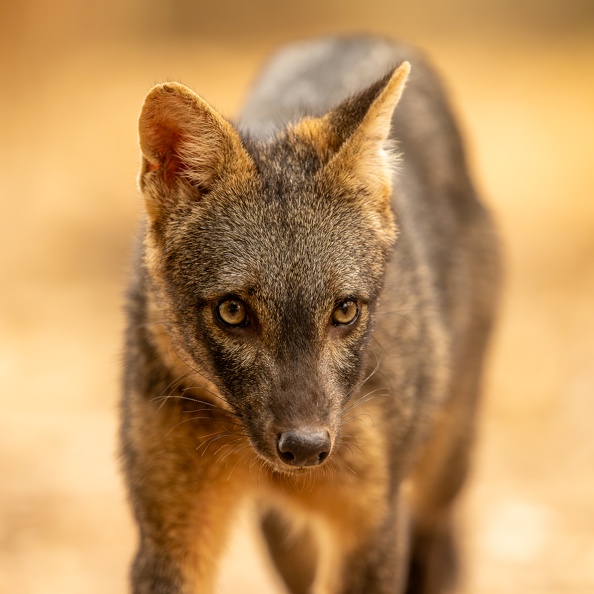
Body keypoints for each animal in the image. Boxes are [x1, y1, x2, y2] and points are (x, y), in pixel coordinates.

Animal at [120, 33, 500, 592]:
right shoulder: (169, 534)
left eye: (344, 311)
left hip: (442, 471)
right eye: (232, 311)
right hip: (284, 539)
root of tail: (353, 36)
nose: (305, 447)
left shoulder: (371, 527)